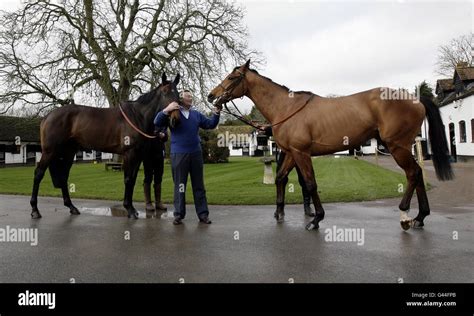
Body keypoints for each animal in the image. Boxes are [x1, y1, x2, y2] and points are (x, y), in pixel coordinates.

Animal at [30, 73, 181, 218]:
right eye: (165, 92)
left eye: (177, 93)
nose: (176, 119)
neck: (137, 116)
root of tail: (47, 116)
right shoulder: (130, 154)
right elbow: (128, 180)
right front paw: (129, 209)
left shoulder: (138, 155)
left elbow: (132, 180)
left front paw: (131, 208)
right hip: (50, 151)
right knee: (38, 174)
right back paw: (35, 210)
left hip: (68, 153)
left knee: (63, 177)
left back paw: (71, 207)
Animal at [209, 60, 454, 231]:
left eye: (232, 77)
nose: (212, 96)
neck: (286, 107)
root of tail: (416, 99)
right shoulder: (291, 152)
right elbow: (280, 178)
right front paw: (279, 212)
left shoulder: (301, 153)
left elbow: (310, 184)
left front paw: (316, 219)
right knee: (418, 173)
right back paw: (420, 217)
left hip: (397, 146)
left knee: (413, 173)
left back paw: (405, 215)